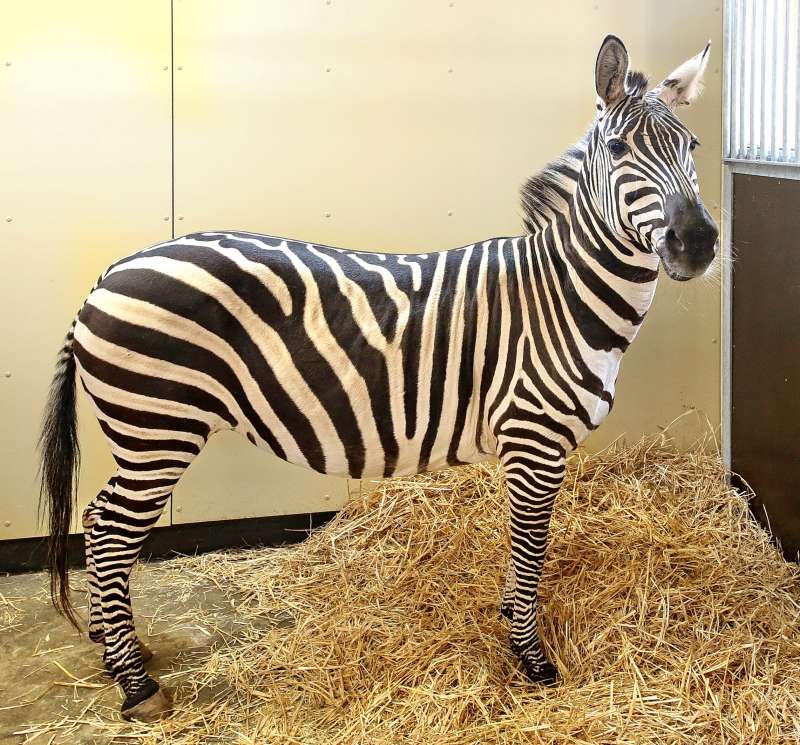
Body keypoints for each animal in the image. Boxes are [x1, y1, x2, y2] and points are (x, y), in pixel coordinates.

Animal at [39, 36, 720, 720]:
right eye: (619, 150)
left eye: (691, 147)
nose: (697, 243)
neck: (562, 295)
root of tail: (109, 275)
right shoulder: (533, 438)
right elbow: (530, 551)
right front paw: (531, 659)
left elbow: (525, 550)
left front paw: (513, 629)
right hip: (158, 424)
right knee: (112, 531)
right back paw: (136, 684)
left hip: (142, 431)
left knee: (98, 518)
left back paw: (117, 649)